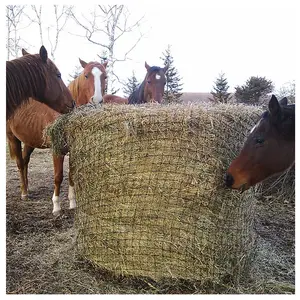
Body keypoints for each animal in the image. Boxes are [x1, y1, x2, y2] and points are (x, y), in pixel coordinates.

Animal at [6, 55, 108, 216]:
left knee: (25, 160)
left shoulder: (73, 149)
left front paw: (72, 202)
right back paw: (24, 193)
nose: (97, 101)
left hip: (29, 141)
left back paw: (27, 187)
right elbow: (58, 176)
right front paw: (56, 206)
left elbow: (71, 174)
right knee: (20, 163)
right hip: (12, 138)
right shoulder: (57, 149)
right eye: (86, 75)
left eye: (105, 76)